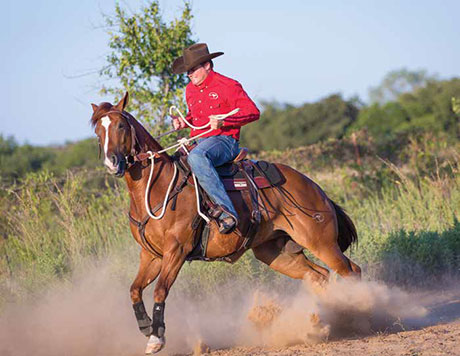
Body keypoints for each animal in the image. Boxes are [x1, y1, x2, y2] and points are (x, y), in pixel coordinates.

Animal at [90, 92, 362, 354]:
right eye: (98, 132)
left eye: (121, 125)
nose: (112, 162)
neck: (159, 187)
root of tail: (313, 186)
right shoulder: (151, 255)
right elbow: (134, 290)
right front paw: (147, 328)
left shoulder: (176, 251)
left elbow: (159, 291)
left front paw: (157, 338)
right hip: (277, 252)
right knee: (319, 275)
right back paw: (321, 322)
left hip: (321, 243)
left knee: (351, 271)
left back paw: (357, 313)